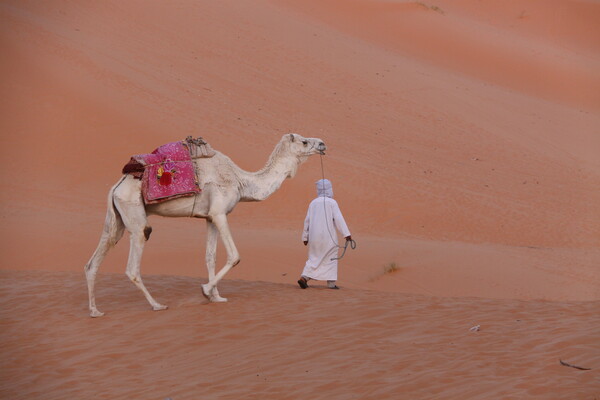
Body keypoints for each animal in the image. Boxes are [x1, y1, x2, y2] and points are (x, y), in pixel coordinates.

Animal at [85, 133, 324, 318]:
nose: (322, 144)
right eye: (304, 141)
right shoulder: (220, 213)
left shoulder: (209, 217)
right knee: (134, 260)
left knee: (95, 258)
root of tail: (117, 186)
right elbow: (234, 255)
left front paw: (216, 297)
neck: (241, 181)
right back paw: (157, 305)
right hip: (134, 213)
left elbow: (210, 256)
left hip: (117, 218)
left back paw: (95, 311)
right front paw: (206, 290)